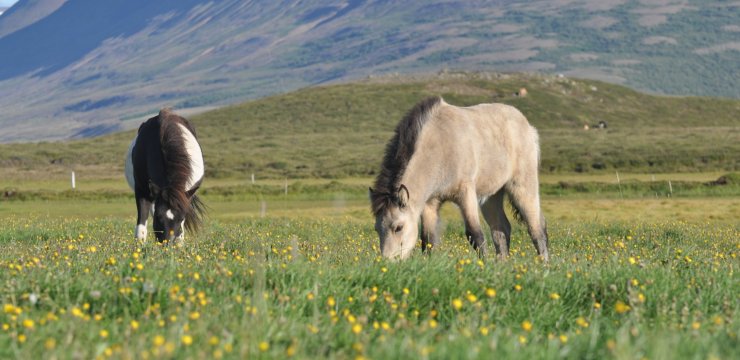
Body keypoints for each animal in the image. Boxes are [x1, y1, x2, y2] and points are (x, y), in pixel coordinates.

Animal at [124, 109, 205, 245]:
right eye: (158, 217)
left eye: (181, 218)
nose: (168, 243)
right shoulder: (142, 190)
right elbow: (141, 228)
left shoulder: (184, 196)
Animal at [370, 97, 548, 260]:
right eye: (377, 228)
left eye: (398, 227)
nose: (387, 261)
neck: (439, 144)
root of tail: (529, 128)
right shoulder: (430, 203)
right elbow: (428, 240)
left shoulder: (465, 193)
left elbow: (475, 234)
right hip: (491, 196)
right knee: (501, 230)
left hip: (523, 187)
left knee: (536, 228)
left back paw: (544, 264)